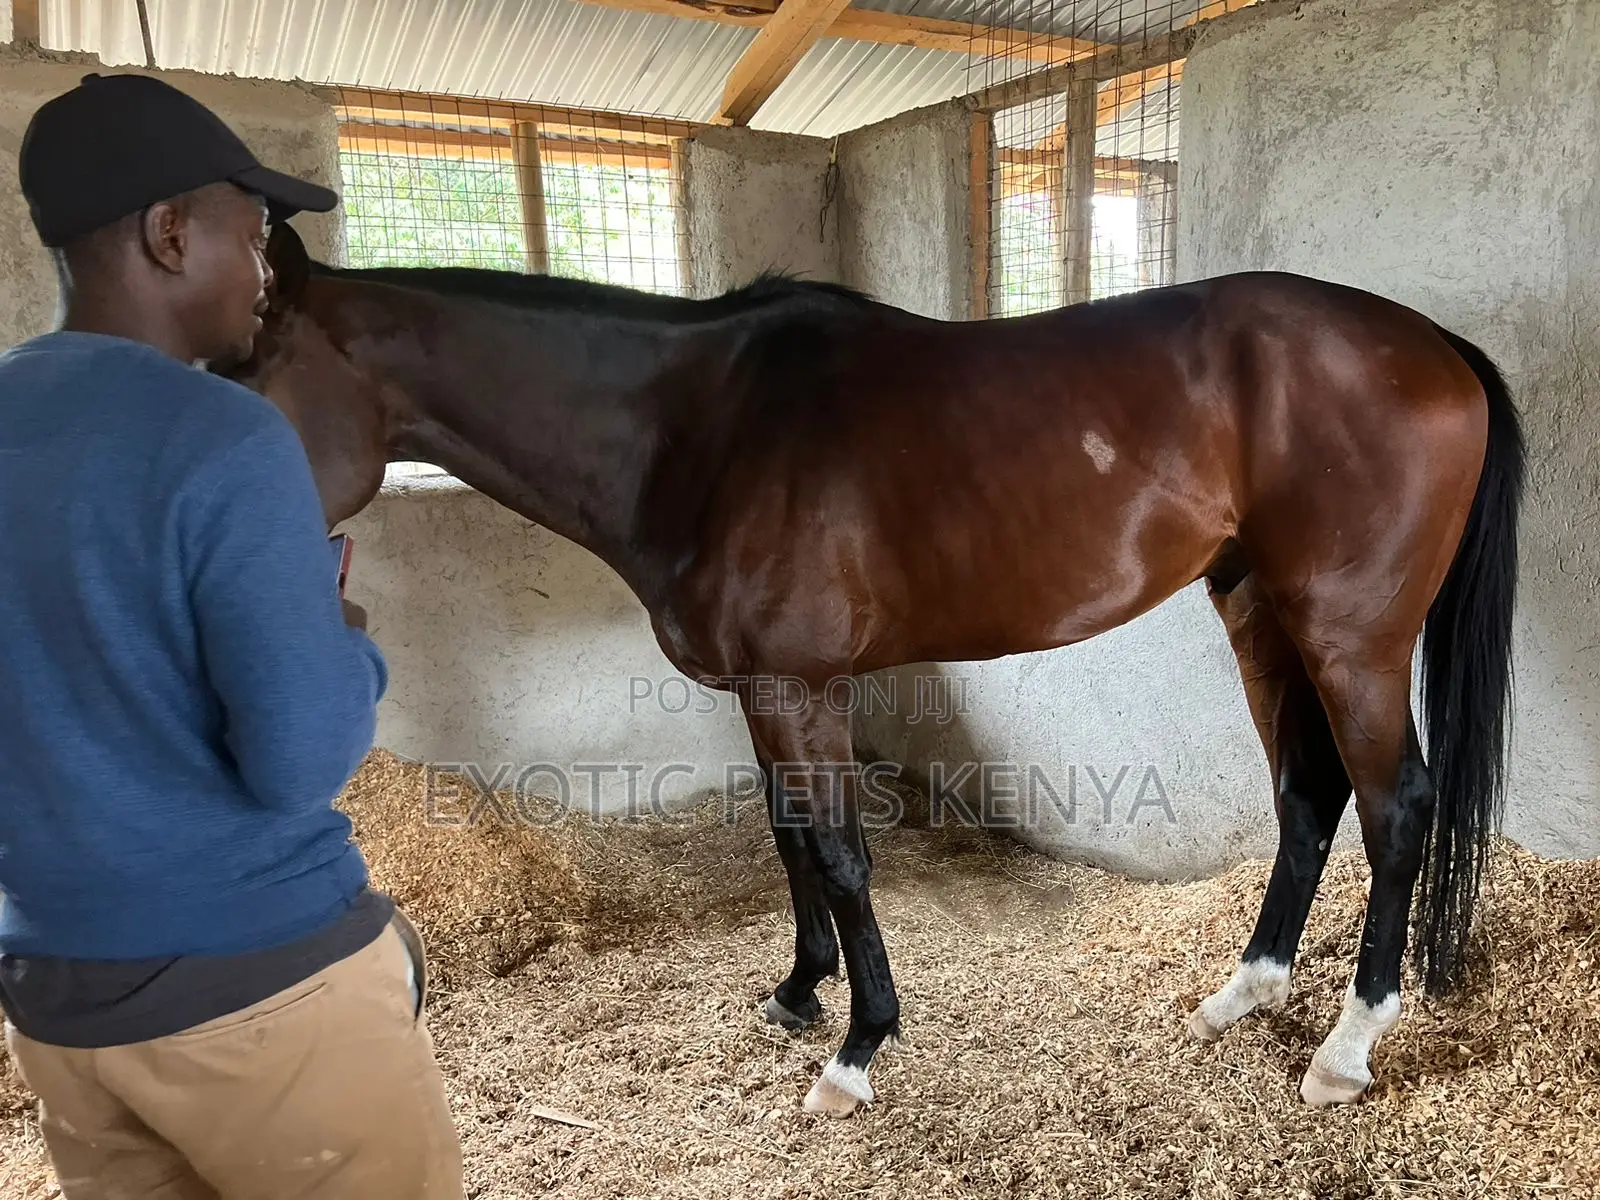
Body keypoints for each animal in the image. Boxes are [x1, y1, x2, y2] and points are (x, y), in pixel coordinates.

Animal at [218, 219, 1523, 1118]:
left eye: (244, 379)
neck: (701, 430)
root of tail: (1431, 345)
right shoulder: (761, 692)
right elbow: (794, 840)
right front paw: (798, 995)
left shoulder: (803, 689)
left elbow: (843, 856)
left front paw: (855, 1050)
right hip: (1259, 613)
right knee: (1307, 795)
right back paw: (1240, 995)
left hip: (1351, 636)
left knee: (1395, 807)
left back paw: (1344, 1050)